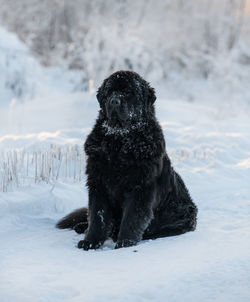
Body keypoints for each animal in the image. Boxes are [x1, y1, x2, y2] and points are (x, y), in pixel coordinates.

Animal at [56, 71, 197, 250]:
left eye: (129, 92)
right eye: (110, 91)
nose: (114, 101)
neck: (120, 140)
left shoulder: (140, 188)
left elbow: (132, 217)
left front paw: (124, 243)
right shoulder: (98, 183)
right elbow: (97, 216)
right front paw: (90, 241)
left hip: (183, 213)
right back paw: (82, 227)